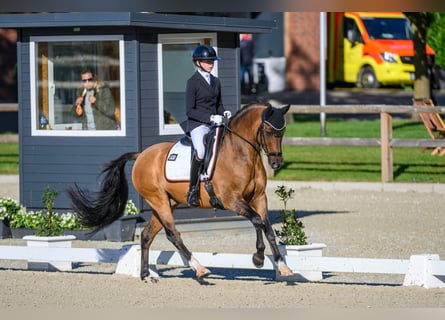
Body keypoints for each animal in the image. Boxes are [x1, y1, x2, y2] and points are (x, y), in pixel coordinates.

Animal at [67, 103, 294, 282]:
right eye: (268, 131)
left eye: (282, 132)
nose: (276, 163)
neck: (242, 153)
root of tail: (141, 155)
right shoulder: (231, 200)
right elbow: (256, 220)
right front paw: (258, 258)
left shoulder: (259, 198)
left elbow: (267, 228)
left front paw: (283, 266)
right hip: (159, 200)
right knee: (173, 234)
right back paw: (199, 268)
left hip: (166, 203)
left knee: (147, 235)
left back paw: (146, 275)